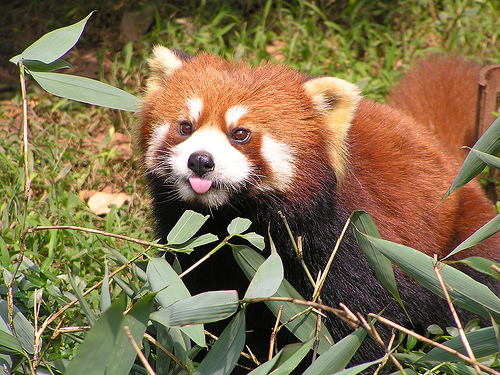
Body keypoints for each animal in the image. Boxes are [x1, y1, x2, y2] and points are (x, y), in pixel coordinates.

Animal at [136, 47, 500, 368]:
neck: (233, 219)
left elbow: (354, 330)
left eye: (240, 133)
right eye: (186, 126)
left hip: (462, 248)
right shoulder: (196, 246)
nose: (200, 161)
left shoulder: (350, 245)